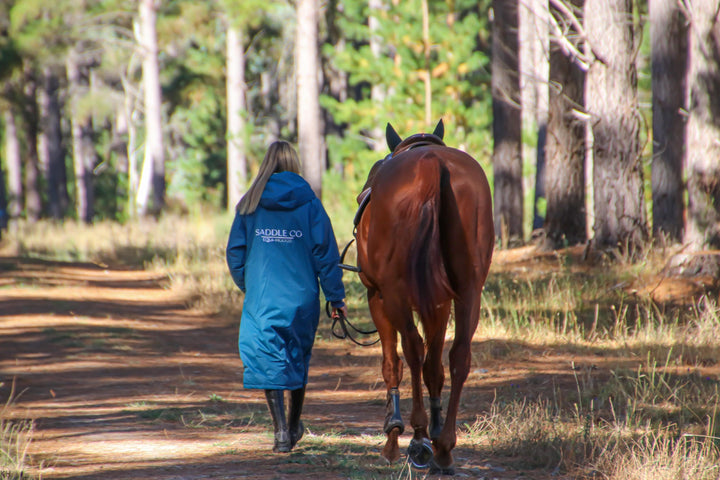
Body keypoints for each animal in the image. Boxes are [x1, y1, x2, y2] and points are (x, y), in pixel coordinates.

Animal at [354, 119, 496, 472]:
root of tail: (432, 163)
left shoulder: (377, 296)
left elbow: (393, 361)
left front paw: (395, 432)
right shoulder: (441, 302)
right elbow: (435, 367)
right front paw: (435, 426)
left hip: (393, 294)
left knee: (413, 348)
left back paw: (418, 438)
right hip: (469, 290)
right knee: (459, 356)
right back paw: (444, 446)